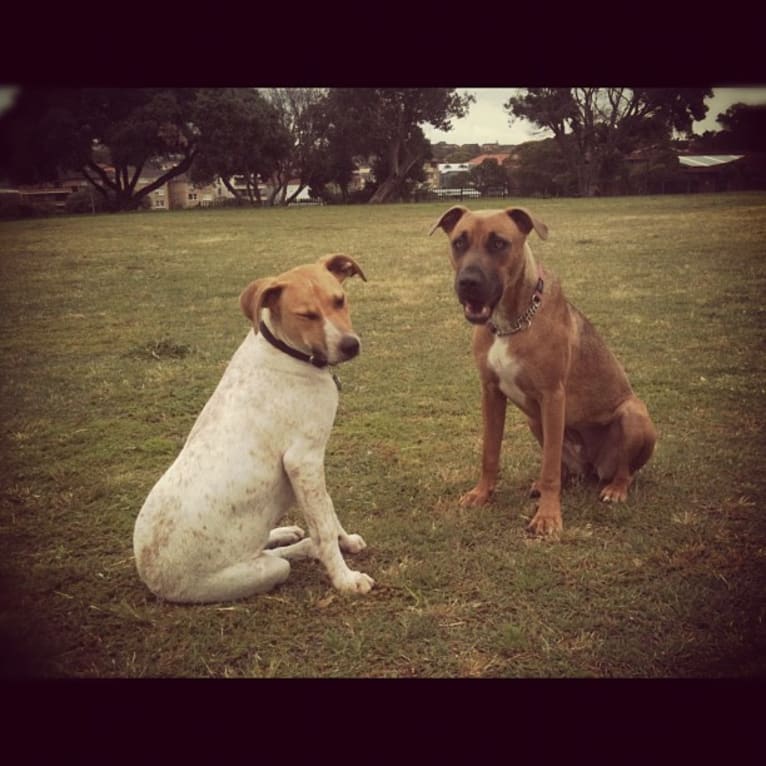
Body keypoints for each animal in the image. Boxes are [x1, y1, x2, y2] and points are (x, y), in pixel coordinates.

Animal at [134, 255, 376, 604]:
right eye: (306, 315)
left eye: (340, 300)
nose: (350, 346)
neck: (287, 351)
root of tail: (149, 575)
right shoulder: (303, 460)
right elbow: (325, 526)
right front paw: (345, 578)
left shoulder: (311, 467)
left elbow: (327, 511)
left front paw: (345, 543)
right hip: (256, 573)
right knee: (279, 557)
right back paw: (305, 547)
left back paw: (287, 534)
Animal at [436, 207, 656, 536]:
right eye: (459, 242)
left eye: (499, 243)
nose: (468, 282)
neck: (510, 323)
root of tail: (594, 466)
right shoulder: (491, 393)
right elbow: (490, 452)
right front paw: (482, 493)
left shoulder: (552, 397)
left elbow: (550, 464)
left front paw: (548, 516)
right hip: (534, 420)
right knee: (565, 469)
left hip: (633, 415)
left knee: (624, 470)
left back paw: (615, 489)